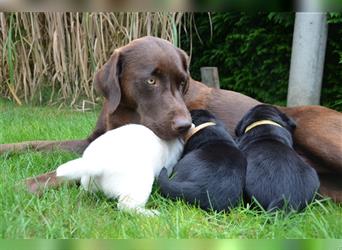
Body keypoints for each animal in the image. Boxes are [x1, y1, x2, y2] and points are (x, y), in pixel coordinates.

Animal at [0, 36, 342, 202]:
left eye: (182, 82)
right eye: (150, 80)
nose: (184, 127)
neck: (125, 110)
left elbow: (59, 172)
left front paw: (20, 186)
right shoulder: (90, 140)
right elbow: (35, 144)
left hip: (317, 133)